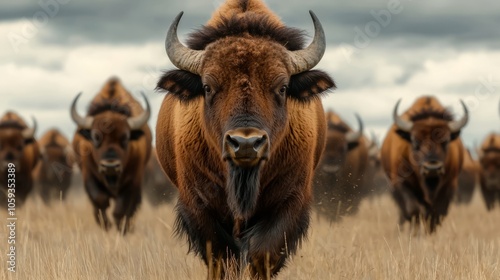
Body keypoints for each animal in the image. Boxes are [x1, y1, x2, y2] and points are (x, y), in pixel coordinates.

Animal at [70, 77, 151, 233]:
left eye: (125, 137)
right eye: (95, 137)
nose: (110, 166)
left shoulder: (133, 181)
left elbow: (121, 208)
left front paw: (121, 228)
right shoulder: (88, 175)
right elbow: (100, 200)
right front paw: (106, 225)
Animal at [155, 0, 336, 278]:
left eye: (282, 87)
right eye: (207, 87)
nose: (246, 144)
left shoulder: (289, 201)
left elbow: (263, 255)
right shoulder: (198, 204)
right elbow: (222, 257)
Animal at [382, 96, 468, 232]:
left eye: (445, 141)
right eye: (415, 141)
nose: (432, 168)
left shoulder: (449, 186)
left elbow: (436, 215)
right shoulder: (402, 183)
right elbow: (414, 211)